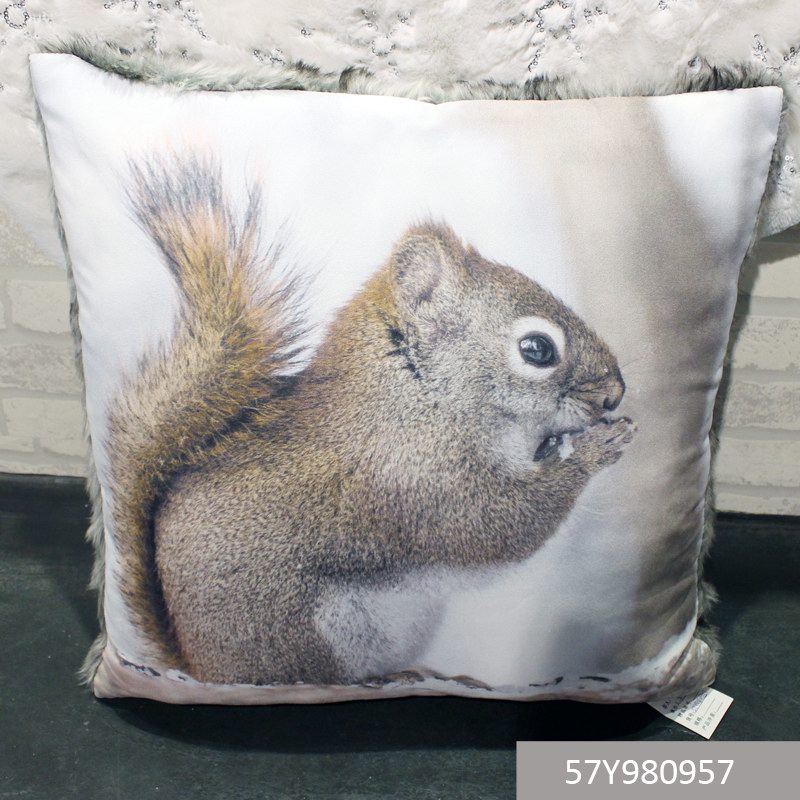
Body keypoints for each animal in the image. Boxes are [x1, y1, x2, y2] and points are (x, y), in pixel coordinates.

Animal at [108, 156, 635, 687]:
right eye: (537, 349)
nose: (615, 393)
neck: (423, 393)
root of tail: (200, 666)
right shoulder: (416, 478)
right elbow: (500, 526)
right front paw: (592, 452)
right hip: (303, 636)